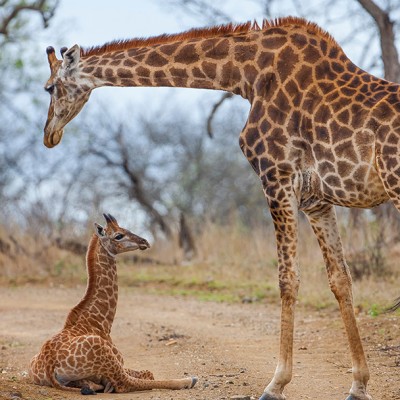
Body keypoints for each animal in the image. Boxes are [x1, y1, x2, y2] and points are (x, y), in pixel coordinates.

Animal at [28, 214, 198, 392]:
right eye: (118, 235)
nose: (144, 241)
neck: (100, 322)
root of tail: (50, 365)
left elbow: (145, 372)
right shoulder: (118, 361)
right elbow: (146, 374)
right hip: (102, 352)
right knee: (126, 383)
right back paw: (188, 380)